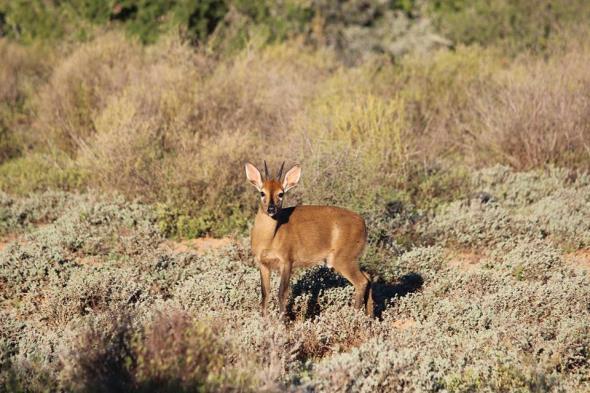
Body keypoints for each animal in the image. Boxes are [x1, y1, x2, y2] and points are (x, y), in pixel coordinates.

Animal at [246, 161, 374, 316]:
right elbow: (265, 294)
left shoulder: (287, 261)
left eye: (281, 193)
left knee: (361, 282)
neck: (269, 239)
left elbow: (282, 293)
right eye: (262, 192)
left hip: (343, 259)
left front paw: (281, 320)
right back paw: (370, 316)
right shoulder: (263, 264)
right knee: (368, 277)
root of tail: (363, 223)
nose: (271, 209)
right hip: (351, 259)